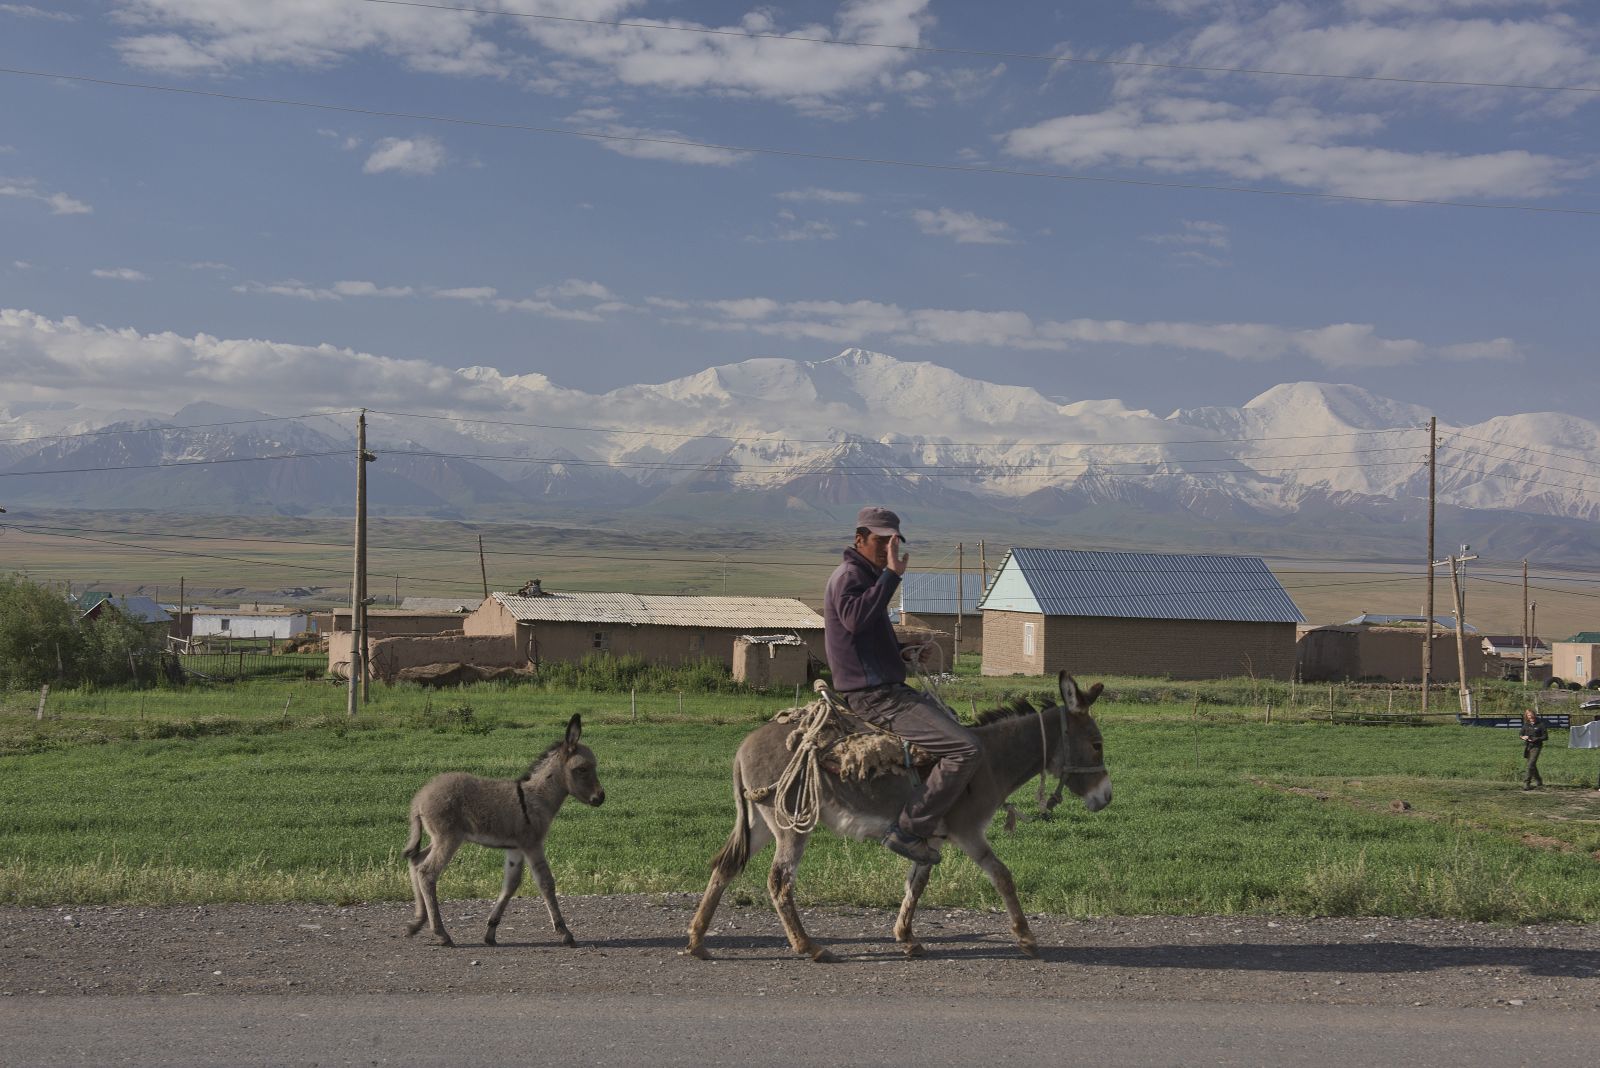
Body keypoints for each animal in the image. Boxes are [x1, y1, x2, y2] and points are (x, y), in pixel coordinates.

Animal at [400, 713, 604, 946]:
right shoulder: (533, 844)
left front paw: (490, 932)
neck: (537, 797)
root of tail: (419, 798)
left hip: (437, 838)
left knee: (416, 861)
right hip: (448, 838)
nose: (601, 797)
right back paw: (441, 933)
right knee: (427, 872)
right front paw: (564, 933)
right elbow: (546, 883)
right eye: (582, 769)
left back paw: (417, 923)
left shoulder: (515, 848)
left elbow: (510, 885)